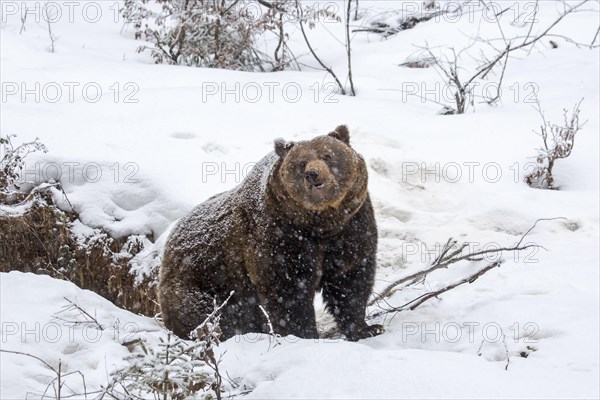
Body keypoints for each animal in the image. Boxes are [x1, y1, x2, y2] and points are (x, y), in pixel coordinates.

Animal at [159, 125, 382, 340]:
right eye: (301, 162)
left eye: (328, 155)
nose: (313, 174)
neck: (320, 224)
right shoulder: (278, 234)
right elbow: (288, 288)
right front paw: (303, 333)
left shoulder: (351, 227)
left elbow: (349, 280)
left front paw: (366, 328)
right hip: (202, 281)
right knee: (206, 313)